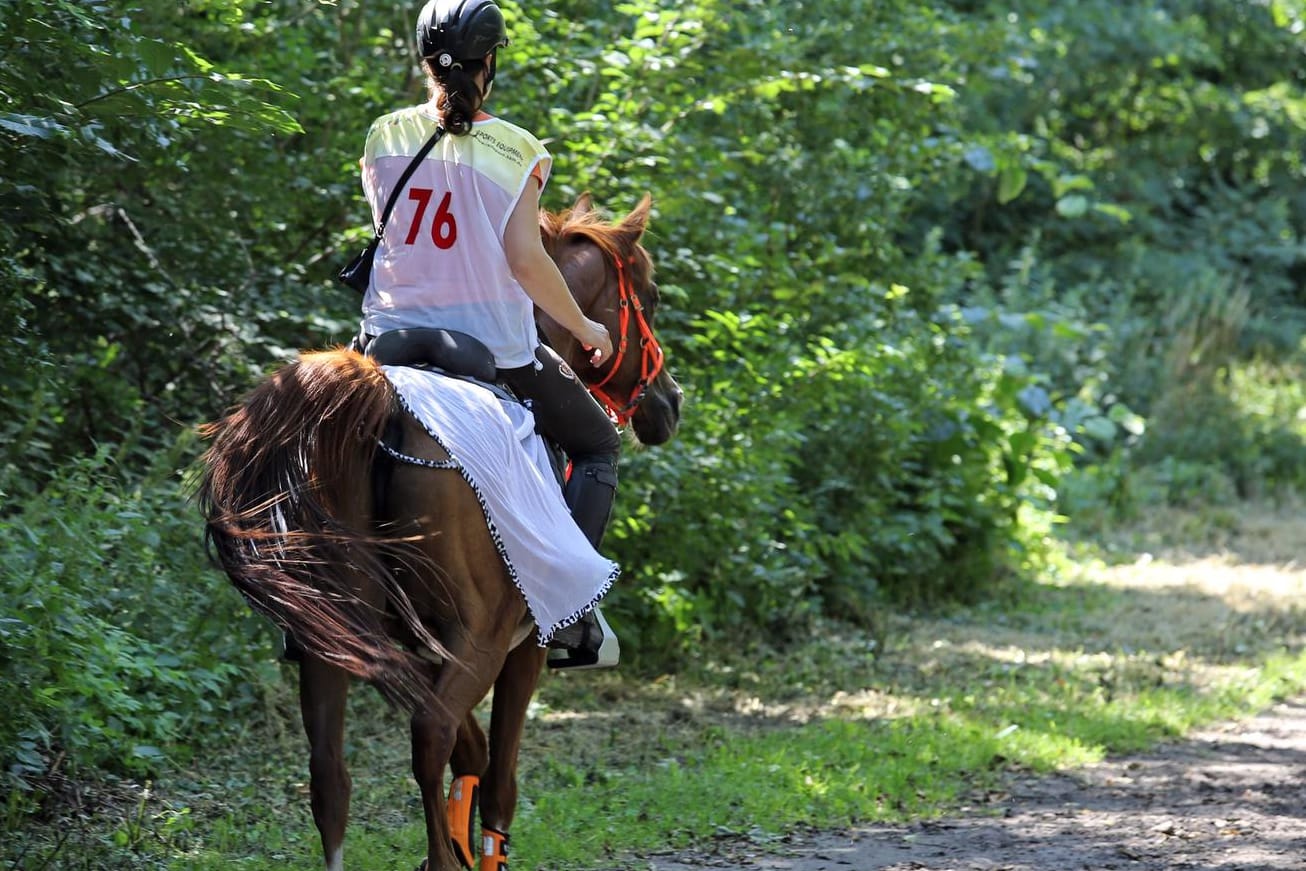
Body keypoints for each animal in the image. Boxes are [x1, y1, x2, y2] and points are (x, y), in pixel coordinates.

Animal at [197, 197, 684, 871]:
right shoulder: (518, 649)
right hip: (476, 639)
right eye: (651, 296)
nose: (670, 403)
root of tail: (381, 402)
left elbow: (469, 752)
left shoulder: (422, 650)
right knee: (428, 737)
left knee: (331, 777)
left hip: (331, 639)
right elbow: (496, 775)